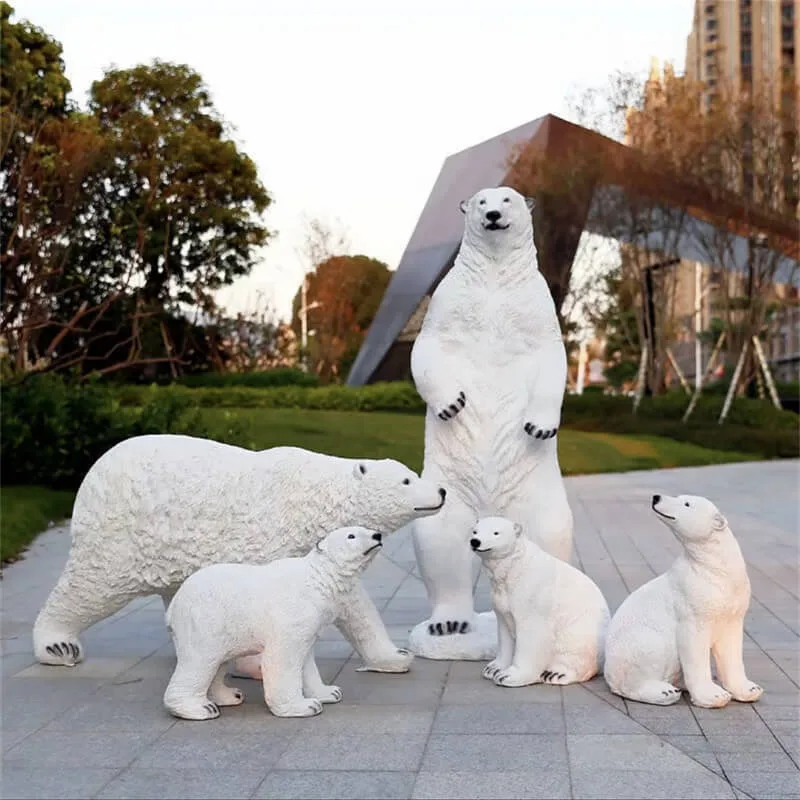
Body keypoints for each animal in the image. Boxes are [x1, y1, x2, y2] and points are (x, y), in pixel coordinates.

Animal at [32, 434, 447, 676]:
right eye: (407, 480)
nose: (441, 491)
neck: (313, 498)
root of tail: (92, 473)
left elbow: (354, 606)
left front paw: (394, 656)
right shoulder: (270, 538)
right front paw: (256, 664)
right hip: (123, 534)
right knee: (92, 584)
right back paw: (57, 644)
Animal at [163, 526, 386, 720]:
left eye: (365, 528)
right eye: (351, 535)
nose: (377, 535)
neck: (316, 578)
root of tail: (174, 605)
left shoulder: (309, 621)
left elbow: (306, 660)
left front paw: (330, 692)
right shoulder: (292, 613)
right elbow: (283, 657)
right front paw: (304, 706)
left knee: (218, 661)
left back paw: (231, 696)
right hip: (204, 619)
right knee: (200, 660)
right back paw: (199, 708)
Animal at [408, 185, 573, 659]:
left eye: (509, 199)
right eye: (481, 201)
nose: (494, 215)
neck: (496, 279)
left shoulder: (537, 308)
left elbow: (553, 358)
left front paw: (539, 426)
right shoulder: (447, 302)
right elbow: (427, 348)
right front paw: (452, 404)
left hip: (538, 497)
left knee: (553, 535)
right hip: (449, 491)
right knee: (440, 540)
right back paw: (448, 624)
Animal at [470, 516, 609, 687]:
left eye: (496, 532)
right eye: (475, 531)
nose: (475, 542)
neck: (514, 566)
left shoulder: (531, 593)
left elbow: (531, 632)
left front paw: (509, 676)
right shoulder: (501, 598)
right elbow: (504, 630)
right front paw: (493, 669)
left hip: (581, 632)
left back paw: (555, 673)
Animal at [603, 493, 764, 709]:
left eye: (686, 503)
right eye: (681, 498)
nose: (656, 497)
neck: (713, 569)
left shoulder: (733, 607)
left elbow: (731, 646)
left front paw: (750, 689)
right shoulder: (690, 600)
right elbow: (693, 644)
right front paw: (713, 696)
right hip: (633, 643)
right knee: (647, 651)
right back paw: (665, 691)